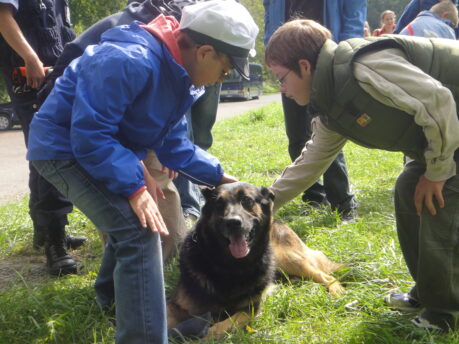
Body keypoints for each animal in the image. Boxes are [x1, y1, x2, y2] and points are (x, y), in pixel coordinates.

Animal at [167, 181, 344, 340]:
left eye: (247, 200)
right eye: (219, 203)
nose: (233, 222)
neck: (229, 265)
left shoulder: (250, 309)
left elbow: (222, 326)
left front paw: (204, 336)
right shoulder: (175, 305)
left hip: (287, 259)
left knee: (325, 275)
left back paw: (337, 291)